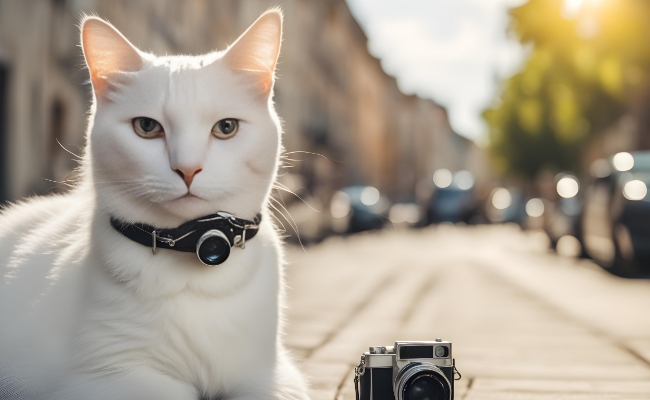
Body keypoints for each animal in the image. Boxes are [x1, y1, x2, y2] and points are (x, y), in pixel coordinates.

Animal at [0, 8, 308, 400]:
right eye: (146, 127)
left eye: (226, 127)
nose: (187, 169)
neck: (192, 255)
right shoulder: (102, 378)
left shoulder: (271, 375)